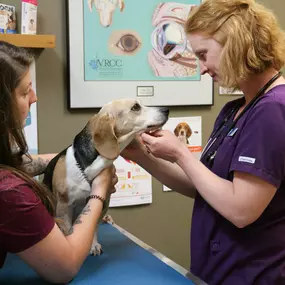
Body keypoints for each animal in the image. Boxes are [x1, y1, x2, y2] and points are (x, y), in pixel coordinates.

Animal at [43, 98, 168, 255]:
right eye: (135, 107)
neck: (88, 168)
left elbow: (94, 226)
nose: (166, 110)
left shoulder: (103, 202)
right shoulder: (64, 205)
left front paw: (93, 244)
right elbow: (67, 228)